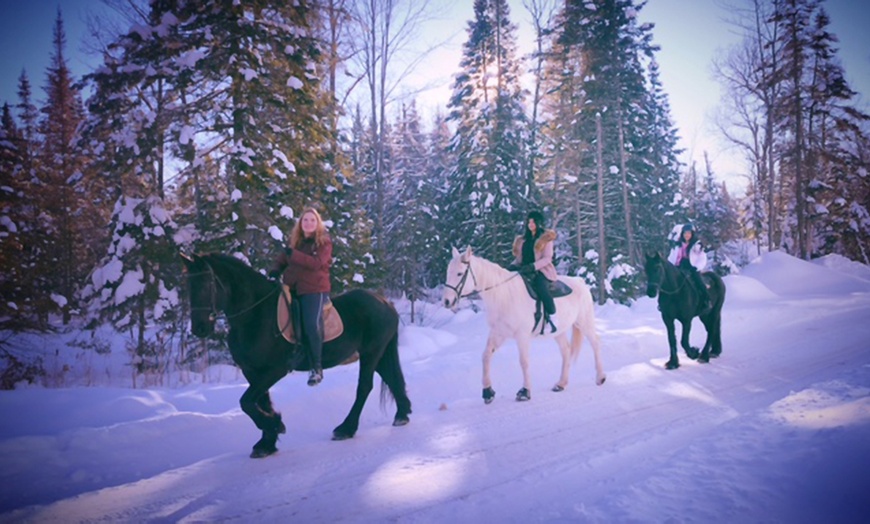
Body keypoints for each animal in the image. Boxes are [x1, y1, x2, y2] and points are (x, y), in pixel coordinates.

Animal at [181, 252, 412, 456]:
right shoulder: (252, 371)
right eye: (189, 286)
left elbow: (246, 402)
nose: (199, 328)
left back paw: (346, 428)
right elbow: (259, 402)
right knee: (392, 378)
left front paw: (275, 425)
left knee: (364, 387)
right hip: (377, 353)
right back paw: (402, 414)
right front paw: (267, 442)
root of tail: (385, 302)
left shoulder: (276, 370)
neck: (255, 315)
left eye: (207, 284)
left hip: (371, 353)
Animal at [442, 248, 608, 404]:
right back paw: (561, 384)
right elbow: (486, 356)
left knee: (595, 342)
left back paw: (600, 377)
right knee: (566, 351)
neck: (504, 296)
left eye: (459, 273)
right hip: (558, 331)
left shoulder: (522, 336)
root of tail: (580, 281)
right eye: (448, 272)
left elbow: (524, 361)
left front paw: (525, 392)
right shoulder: (498, 333)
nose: (447, 301)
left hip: (584, 321)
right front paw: (487, 392)